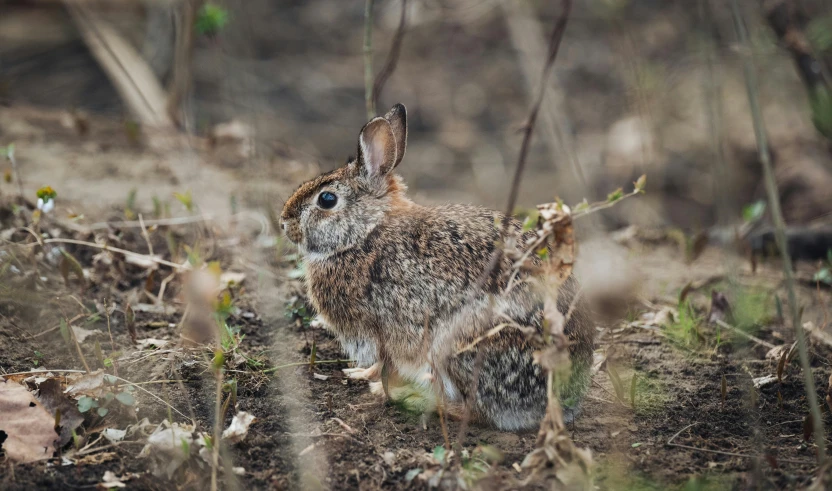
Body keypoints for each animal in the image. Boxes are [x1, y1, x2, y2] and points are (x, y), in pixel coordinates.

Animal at [282, 104, 596, 430]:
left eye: (327, 199)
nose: (284, 221)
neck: (366, 233)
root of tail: (564, 397)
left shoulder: (380, 330)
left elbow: (382, 362)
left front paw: (370, 381)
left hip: (458, 344)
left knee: (475, 411)